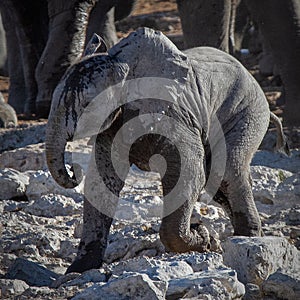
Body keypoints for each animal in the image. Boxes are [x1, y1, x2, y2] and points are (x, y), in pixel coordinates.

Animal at [44, 27, 288, 274]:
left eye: (86, 105)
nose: (73, 171)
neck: (123, 63)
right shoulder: (116, 121)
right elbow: (102, 180)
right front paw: (78, 270)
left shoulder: (172, 114)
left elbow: (190, 174)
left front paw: (203, 237)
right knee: (219, 182)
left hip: (247, 111)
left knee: (226, 171)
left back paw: (248, 240)